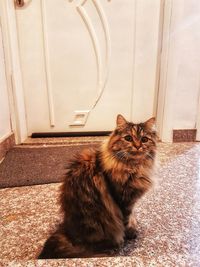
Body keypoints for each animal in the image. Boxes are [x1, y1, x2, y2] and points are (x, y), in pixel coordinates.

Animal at [38, 114, 157, 258]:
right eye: (128, 138)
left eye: (144, 139)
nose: (138, 146)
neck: (134, 167)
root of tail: (68, 234)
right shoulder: (123, 201)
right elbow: (126, 221)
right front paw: (129, 235)